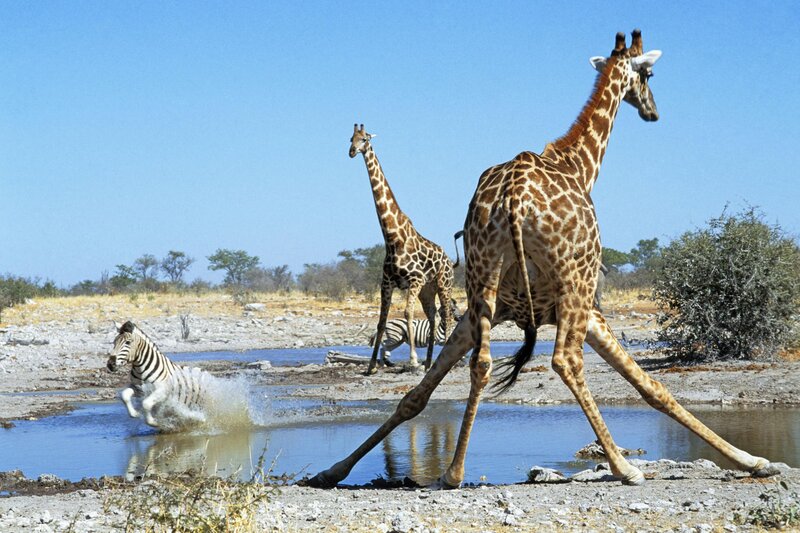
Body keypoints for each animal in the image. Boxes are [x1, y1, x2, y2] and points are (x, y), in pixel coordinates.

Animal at [349, 124, 456, 374]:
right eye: (351, 138)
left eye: (364, 139)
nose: (351, 151)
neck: (392, 237)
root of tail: (449, 260)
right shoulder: (387, 282)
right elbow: (381, 320)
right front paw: (371, 366)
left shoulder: (414, 280)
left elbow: (407, 313)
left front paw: (413, 360)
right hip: (428, 289)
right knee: (433, 316)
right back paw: (429, 363)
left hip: (443, 284)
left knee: (446, 314)